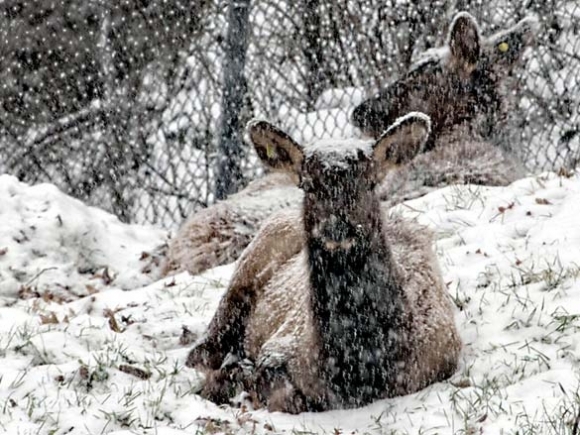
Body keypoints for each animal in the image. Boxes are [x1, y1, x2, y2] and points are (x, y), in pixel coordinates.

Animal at [188, 111, 460, 412]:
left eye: (370, 182)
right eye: (308, 185)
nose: (337, 228)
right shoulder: (279, 346)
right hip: (254, 256)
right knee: (205, 346)